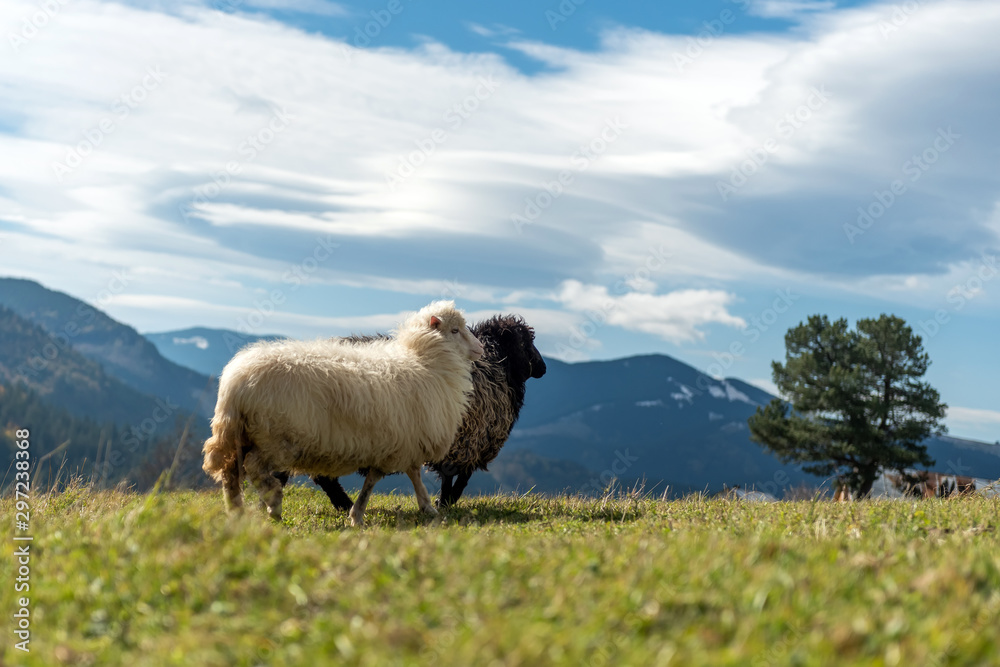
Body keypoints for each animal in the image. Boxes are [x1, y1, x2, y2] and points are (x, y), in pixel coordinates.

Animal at [201, 302, 482, 528]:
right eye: (455, 330)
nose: (480, 348)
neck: (425, 361)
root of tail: (235, 383)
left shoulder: (400, 442)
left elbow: (405, 475)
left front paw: (424, 506)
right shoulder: (401, 441)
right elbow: (380, 480)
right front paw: (360, 515)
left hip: (243, 435)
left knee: (230, 473)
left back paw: (236, 511)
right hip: (275, 438)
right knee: (252, 468)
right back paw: (274, 502)